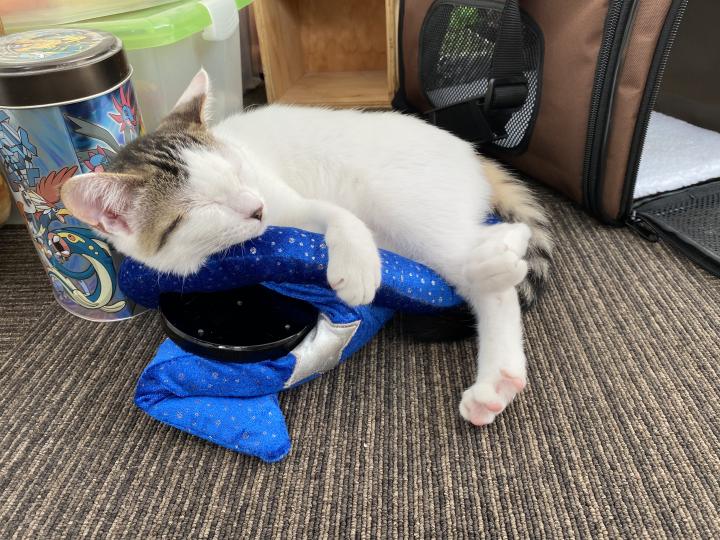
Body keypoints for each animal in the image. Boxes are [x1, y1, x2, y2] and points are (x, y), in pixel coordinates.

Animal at [61, 69, 552, 427]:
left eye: (236, 169)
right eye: (202, 207)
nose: (255, 207)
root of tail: (472, 152)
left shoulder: (286, 198)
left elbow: (337, 216)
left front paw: (356, 265)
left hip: (399, 200)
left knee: (482, 270)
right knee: (487, 244)